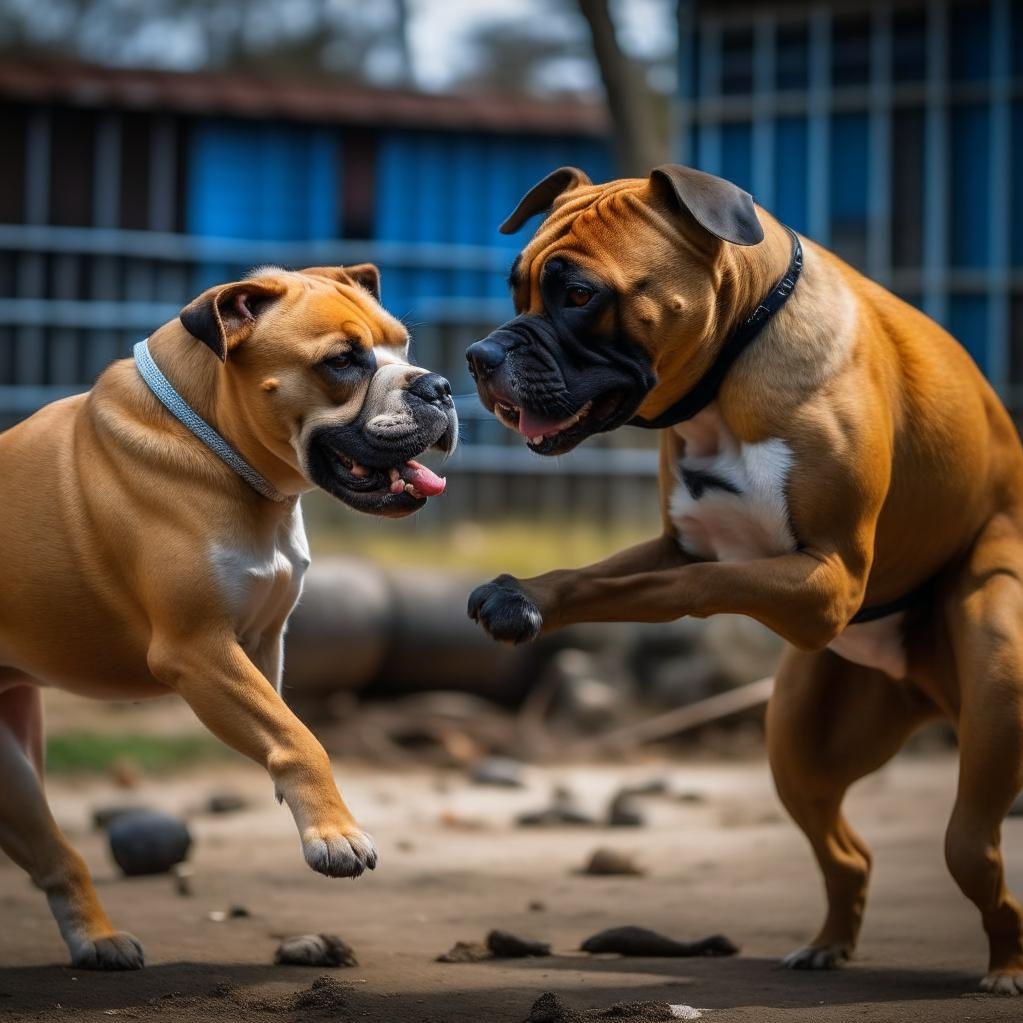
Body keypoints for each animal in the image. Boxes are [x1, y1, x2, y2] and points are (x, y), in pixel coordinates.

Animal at [0, 261, 456, 965]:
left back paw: (97, 938)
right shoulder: (198, 650)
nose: (438, 386)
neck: (218, 447)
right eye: (343, 361)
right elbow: (301, 738)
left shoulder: (261, 641)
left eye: (404, 348)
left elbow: (282, 724)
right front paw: (334, 834)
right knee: (59, 854)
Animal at [468, 165, 1023, 990]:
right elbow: (593, 578)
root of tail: (924, 681)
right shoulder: (676, 545)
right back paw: (828, 942)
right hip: (798, 750)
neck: (731, 370)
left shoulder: (824, 581)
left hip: (992, 689)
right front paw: (522, 598)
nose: (481, 354)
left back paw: (1004, 965)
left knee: (970, 848)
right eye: (516, 288)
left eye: (578, 295)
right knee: (847, 854)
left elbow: (687, 590)